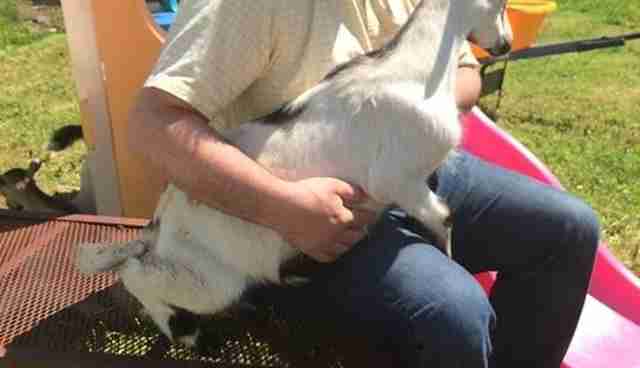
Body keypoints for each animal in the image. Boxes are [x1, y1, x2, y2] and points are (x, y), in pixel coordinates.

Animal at [77, 0, 512, 346]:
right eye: (501, 4)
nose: (505, 45)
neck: (413, 70)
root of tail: (162, 219)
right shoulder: (397, 179)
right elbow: (444, 217)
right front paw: (455, 263)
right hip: (213, 279)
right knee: (135, 273)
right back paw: (184, 333)